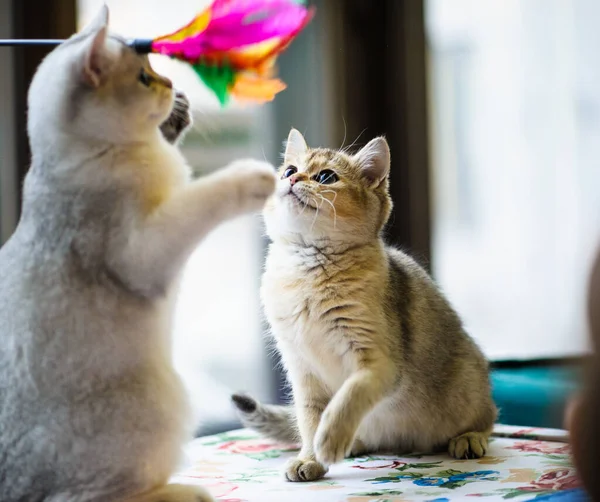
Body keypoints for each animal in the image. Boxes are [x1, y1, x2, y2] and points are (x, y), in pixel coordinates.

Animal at [0, 6, 276, 502]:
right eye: (145, 78)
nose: (169, 84)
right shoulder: (145, 249)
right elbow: (205, 195)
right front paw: (258, 176)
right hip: (164, 402)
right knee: (85, 497)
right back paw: (187, 491)